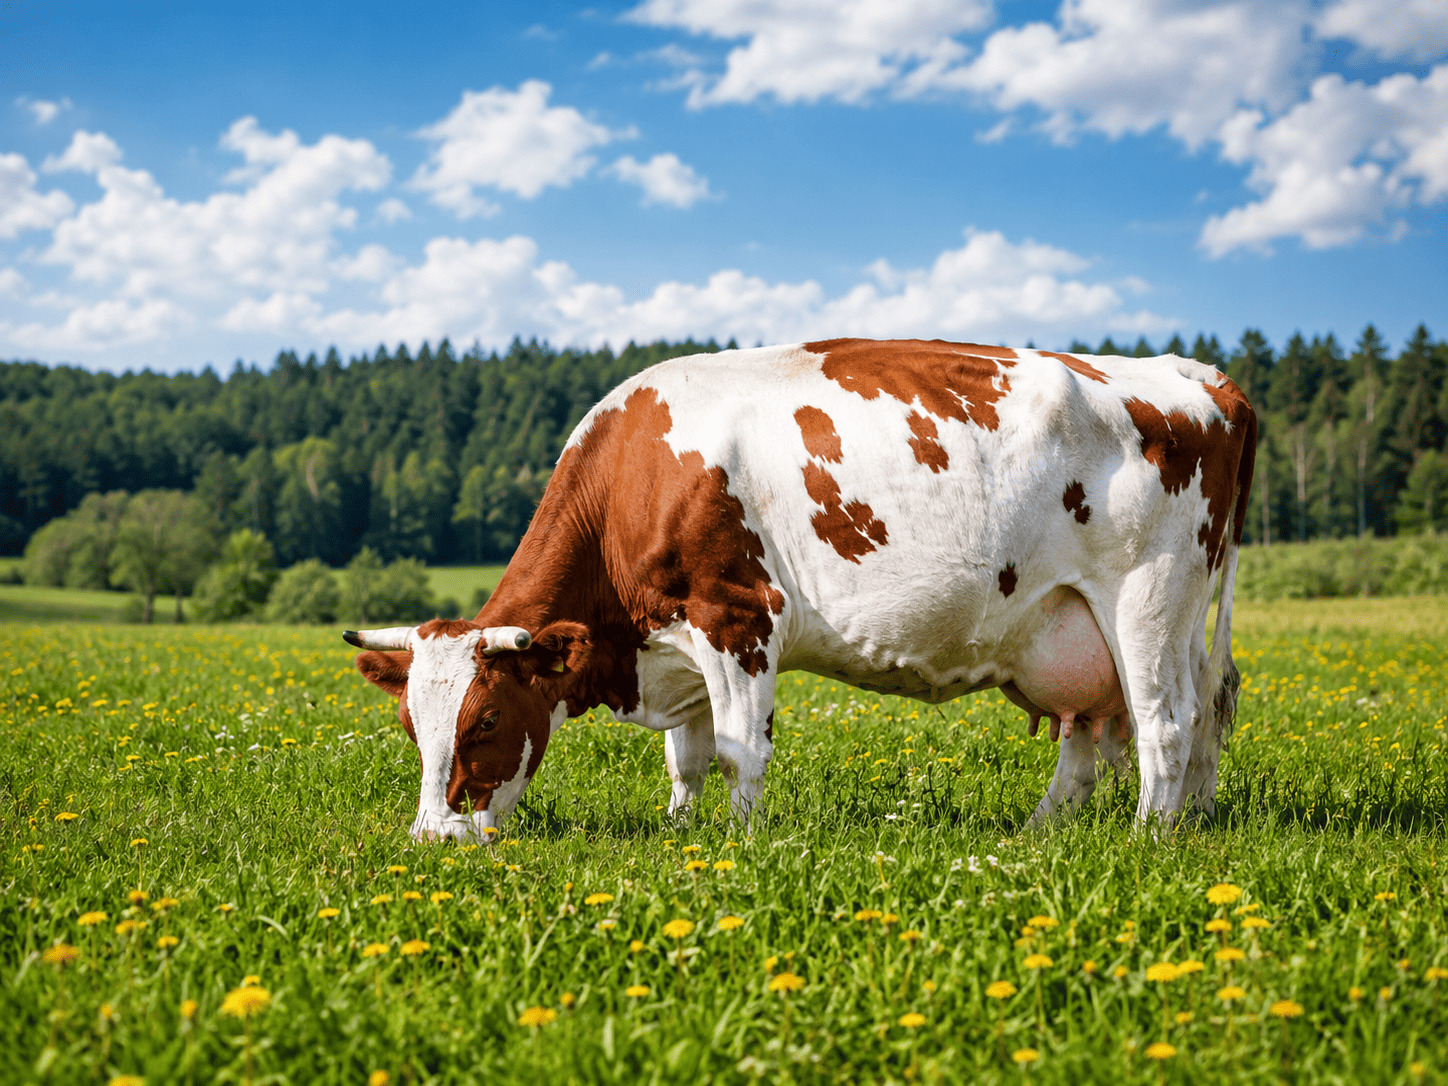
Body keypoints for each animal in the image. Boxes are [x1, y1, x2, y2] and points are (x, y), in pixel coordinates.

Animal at [345, 338, 1256, 841]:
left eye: (487, 719)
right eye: (410, 725)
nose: (432, 837)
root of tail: (1200, 377)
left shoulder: (736, 618)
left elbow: (738, 751)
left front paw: (739, 844)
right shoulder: (679, 645)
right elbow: (688, 759)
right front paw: (679, 829)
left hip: (1146, 601)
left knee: (1165, 724)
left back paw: (1147, 839)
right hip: (1097, 623)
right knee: (1132, 728)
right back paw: (1086, 829)